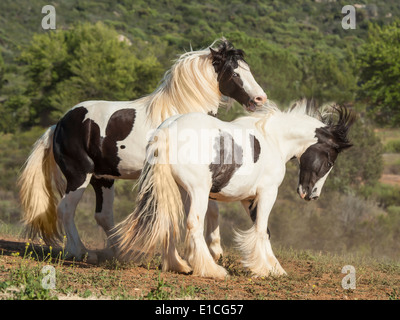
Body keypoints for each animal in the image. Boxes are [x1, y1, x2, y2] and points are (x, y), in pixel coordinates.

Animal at [19, 38, 268, 262]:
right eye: (234, 73)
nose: (260, 98)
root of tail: (58, 125)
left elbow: (210, 209)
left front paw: (213, 252)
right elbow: (203, 210)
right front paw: (211, 252)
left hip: (103, 178)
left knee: (103, 215)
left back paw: (121, 253)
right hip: (79, 175)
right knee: (66, 209)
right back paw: (81, 252)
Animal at [113, 100, 356, 278]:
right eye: (330, 161)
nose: (312, 194)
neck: (273, 140)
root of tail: (167, 131)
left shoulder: (249, 199)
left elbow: (264, 230)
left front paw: (274, 268)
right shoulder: (268, 193)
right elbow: (261, 229)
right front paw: (266, 269)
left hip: (177, 190)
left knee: (169, 221)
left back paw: (179, 265)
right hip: (198, 191)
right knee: (193, 224)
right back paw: (212, 270)